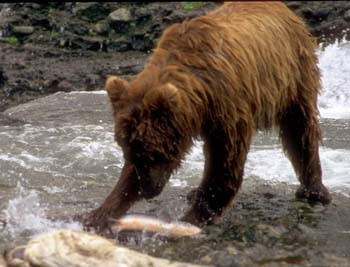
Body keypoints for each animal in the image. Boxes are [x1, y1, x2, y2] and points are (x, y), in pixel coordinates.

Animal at [82, 0, 330, 232]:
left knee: (301, 130)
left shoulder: (228, 107)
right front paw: (97, 214)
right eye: (129, 152)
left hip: (294, 76)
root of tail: (286, 10)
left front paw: (193, 217)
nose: (148, 190)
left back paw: (314, 191)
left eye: (155, 154)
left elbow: (225, 161)